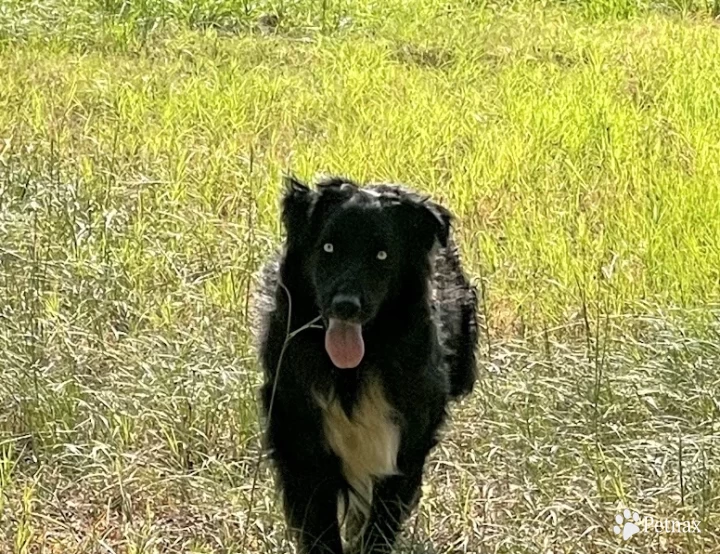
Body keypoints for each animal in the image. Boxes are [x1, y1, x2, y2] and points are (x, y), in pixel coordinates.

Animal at [253, 174, 478, 552]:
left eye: (382, 255)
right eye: (328, 248)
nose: (346, 306)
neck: (353, 371)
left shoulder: (403, 447)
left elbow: (380, 524)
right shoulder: (301, 445)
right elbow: (320, 530)